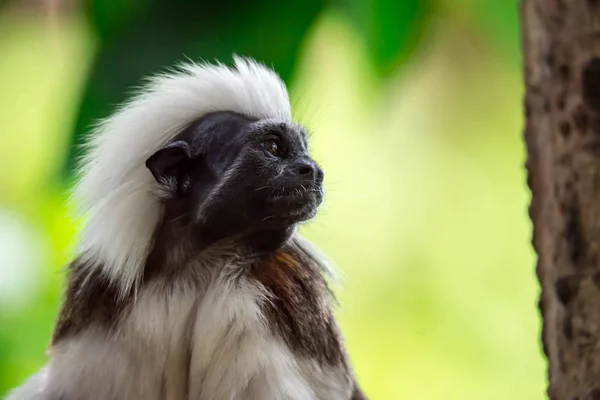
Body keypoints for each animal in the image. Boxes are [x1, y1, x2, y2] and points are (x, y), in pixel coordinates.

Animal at [5, 56, 366, 400]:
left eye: (303, 150)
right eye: (274, 147)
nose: (313, 170)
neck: (197, 268)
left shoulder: (273, 300)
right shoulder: (98, 302)